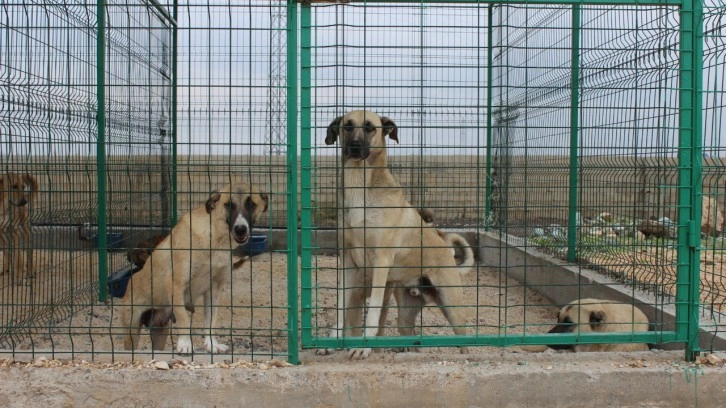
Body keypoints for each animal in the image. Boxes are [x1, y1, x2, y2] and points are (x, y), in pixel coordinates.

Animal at [118, 180, 268, 352]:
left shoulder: (214, 289)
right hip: (132, 330)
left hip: (160, 332)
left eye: (251, 204)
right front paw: (185, 343)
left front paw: (211, 343)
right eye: (228, 205)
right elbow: (184, 319)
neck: (214, 240)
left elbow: (211, 321)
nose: (240, 229)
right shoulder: (175, 284)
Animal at [324, 110, 472, 358]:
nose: (354, 147)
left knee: (466, 340)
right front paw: (333, 339)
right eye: (347, 126)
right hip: (405, 311)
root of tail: (445, 247)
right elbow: (340, 305)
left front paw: (363, 346)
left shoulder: (381, 261)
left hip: (453, 308)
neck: (359, 186)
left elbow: (373, 311)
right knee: (410, 333)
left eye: (370, 127)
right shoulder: (348, 262)